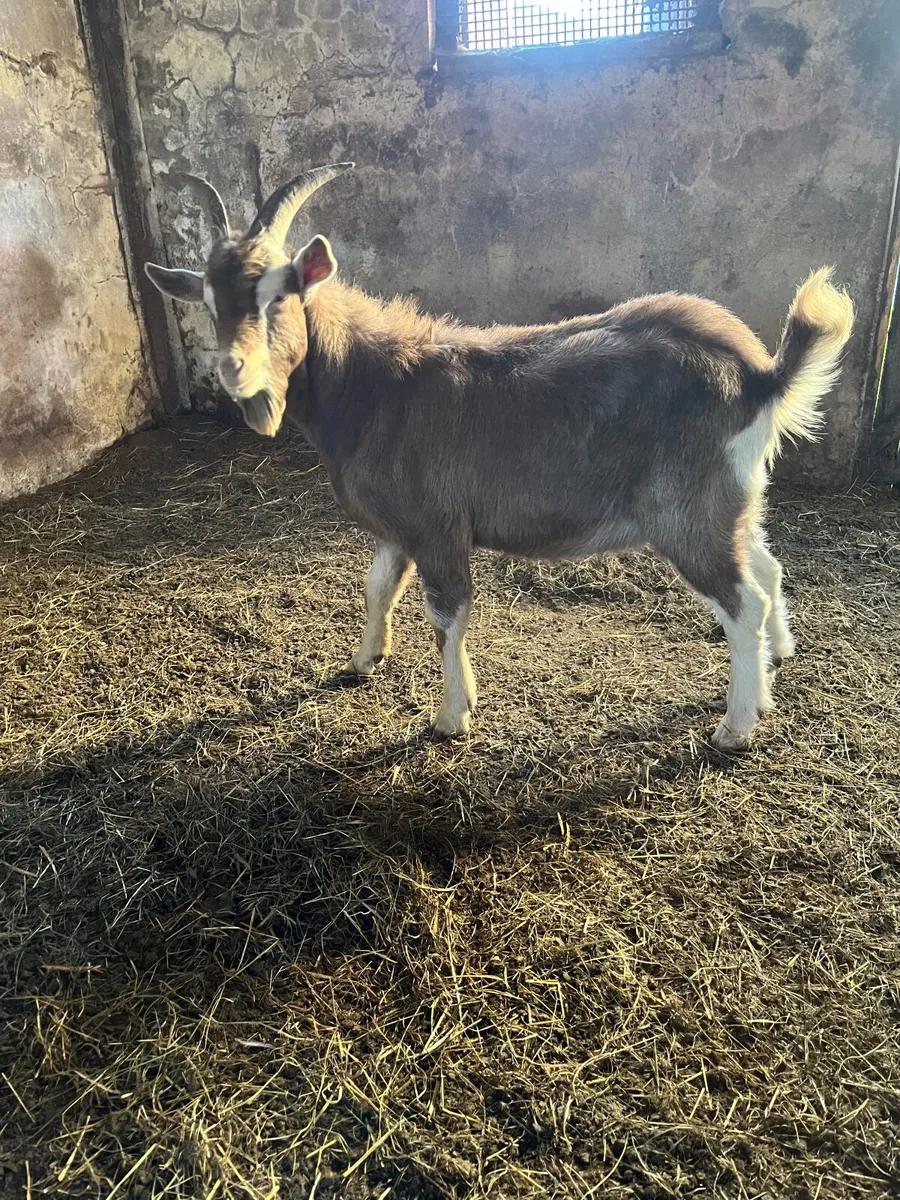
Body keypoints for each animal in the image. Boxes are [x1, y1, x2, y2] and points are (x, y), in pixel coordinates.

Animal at [146, 163, 854, 750]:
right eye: (206, 303)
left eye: (281, 293)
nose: (233, 369)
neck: (373, 386)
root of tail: (759, 373)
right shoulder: (398, 525)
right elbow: (378, 586)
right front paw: (364, 659)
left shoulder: (435, 524)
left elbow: (446, 614)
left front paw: (451, 716)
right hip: (732, 496)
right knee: (767, 567)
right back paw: (772, 671)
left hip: (688, 513)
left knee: (741, 602)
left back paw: (735, 727)